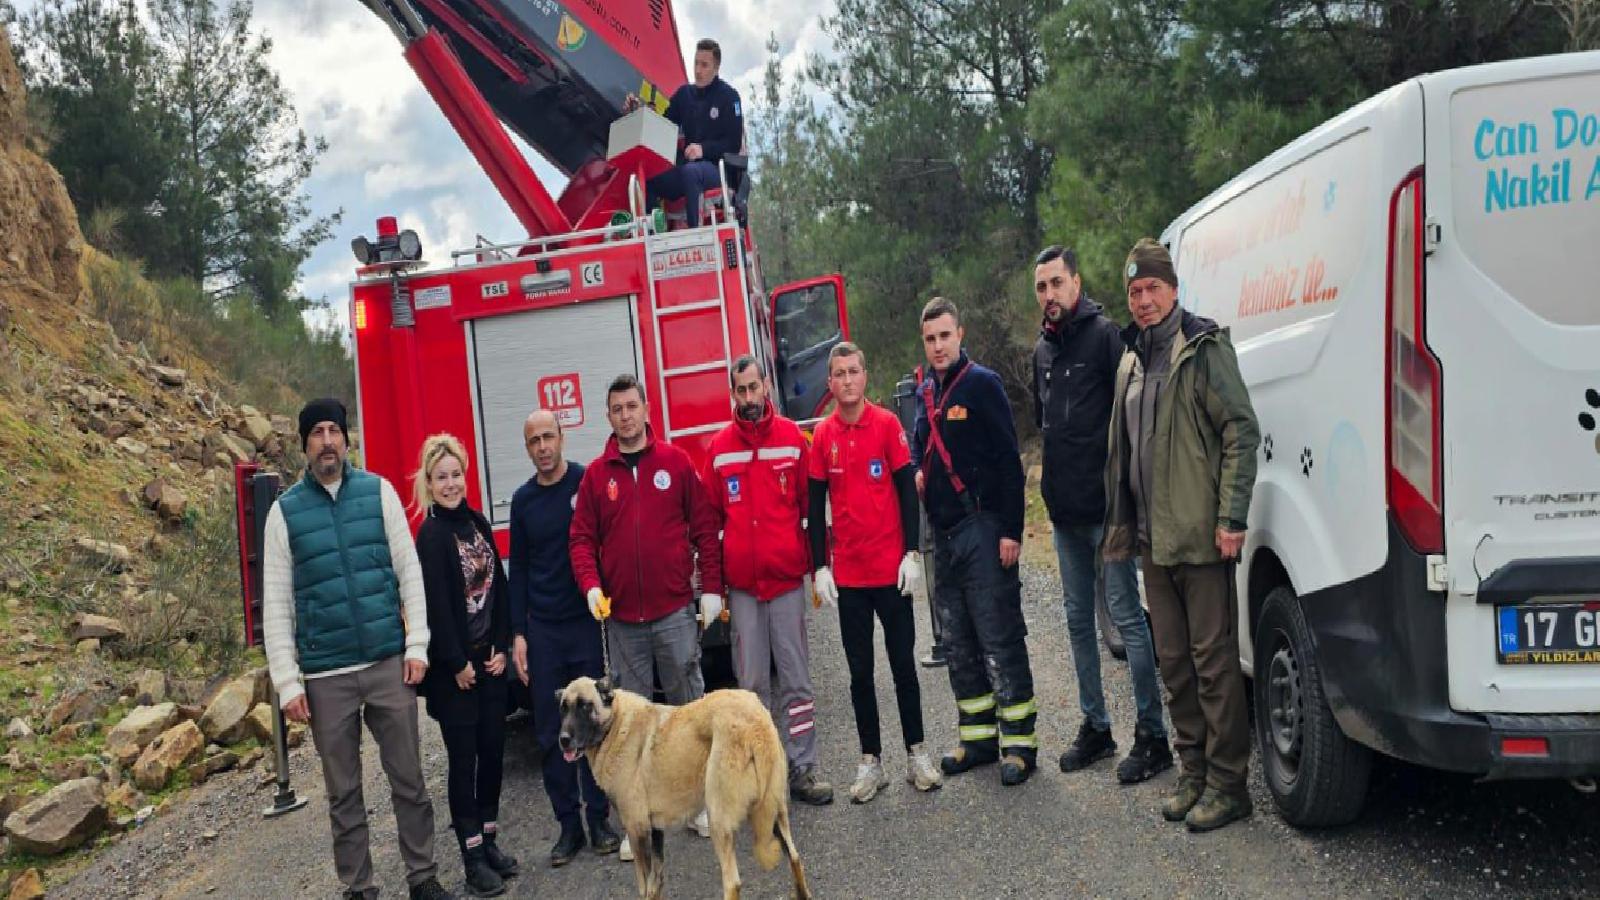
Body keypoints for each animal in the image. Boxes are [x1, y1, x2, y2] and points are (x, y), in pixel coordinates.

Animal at [560, 672, 812, 896]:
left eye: (585, 706)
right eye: (563, 708)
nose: (563, 740)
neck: (615, 723)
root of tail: (754, 725)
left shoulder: (637, 828)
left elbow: (644, 887)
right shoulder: (655, 829)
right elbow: (656, 884)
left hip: (718, 819)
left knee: (732, 883)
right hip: (774, 811)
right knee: (795, 857)